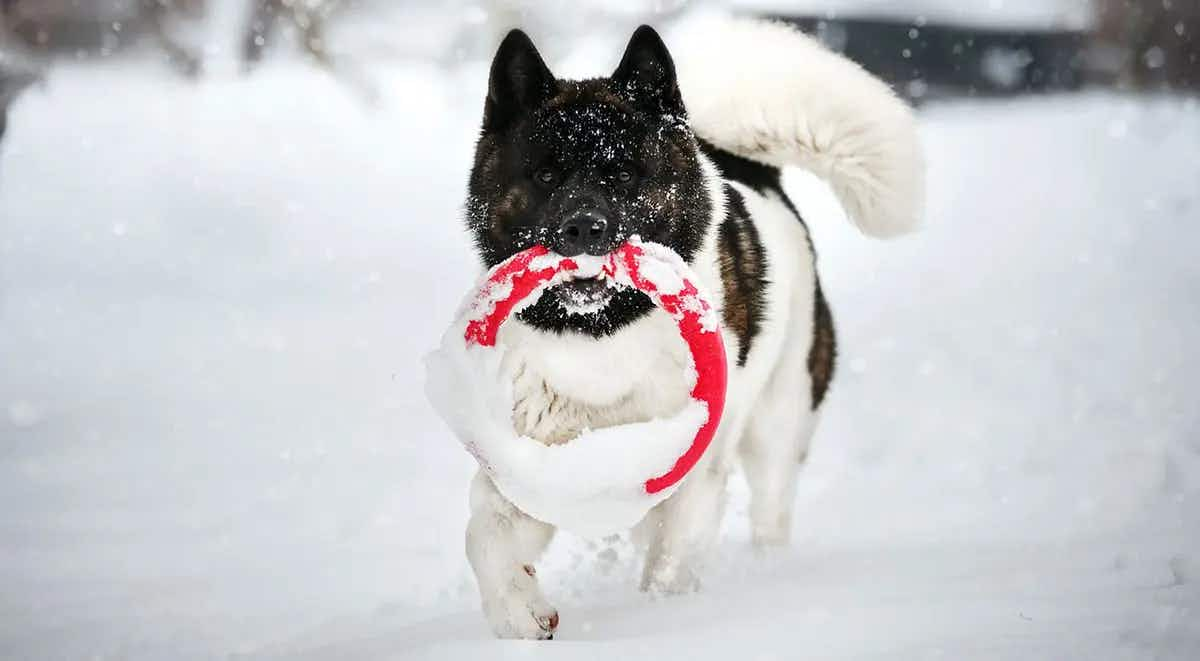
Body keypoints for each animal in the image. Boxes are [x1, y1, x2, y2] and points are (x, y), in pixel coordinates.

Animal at [456, 18, 916, 638]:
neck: (601, 337)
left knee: (771, 510)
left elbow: (672, 564)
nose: (583, 227)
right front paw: (518, 614)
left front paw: (665, 621)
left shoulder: (694, 476)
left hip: (780, 420)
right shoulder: (529, 459)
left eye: (624, 174)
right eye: (546, 174)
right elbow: (486, 534)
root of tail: (752, 169)